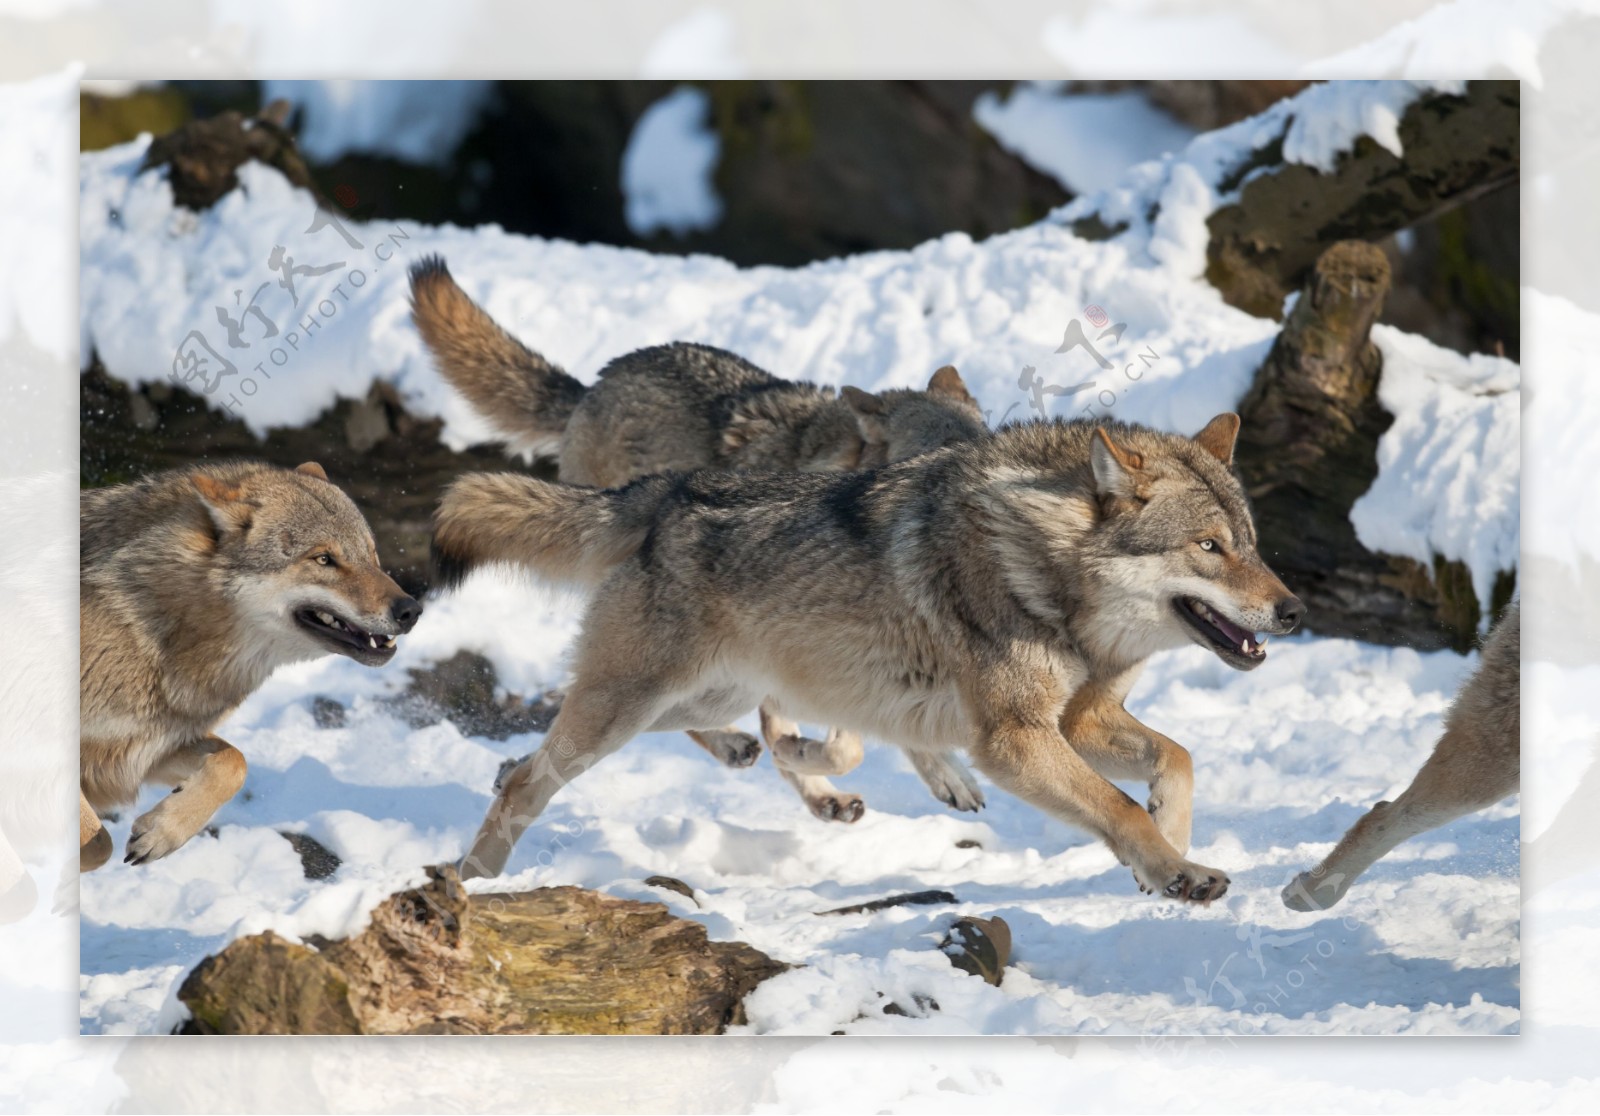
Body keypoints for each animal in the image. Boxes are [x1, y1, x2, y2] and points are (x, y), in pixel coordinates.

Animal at [82, 460, 422, 869]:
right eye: (324, 559)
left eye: (371, 555)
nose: (410, 610)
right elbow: (97, 845)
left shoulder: (149, 751)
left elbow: (235, 763)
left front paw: (162, 832)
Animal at [435, 409, 1299, 895]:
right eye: (1209, 547)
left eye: (1252, 544)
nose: (1293, 610)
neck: (1048, 572)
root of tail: (665, 491)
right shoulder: (1014, 740)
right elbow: (1115, 805)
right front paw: (1179, 871)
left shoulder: (1079, 722)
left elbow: (1177, 760)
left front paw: (1170, 850)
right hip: (628, 708)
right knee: (532, 779)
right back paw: (472, 884)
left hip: (695, 696)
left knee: (573, 753)